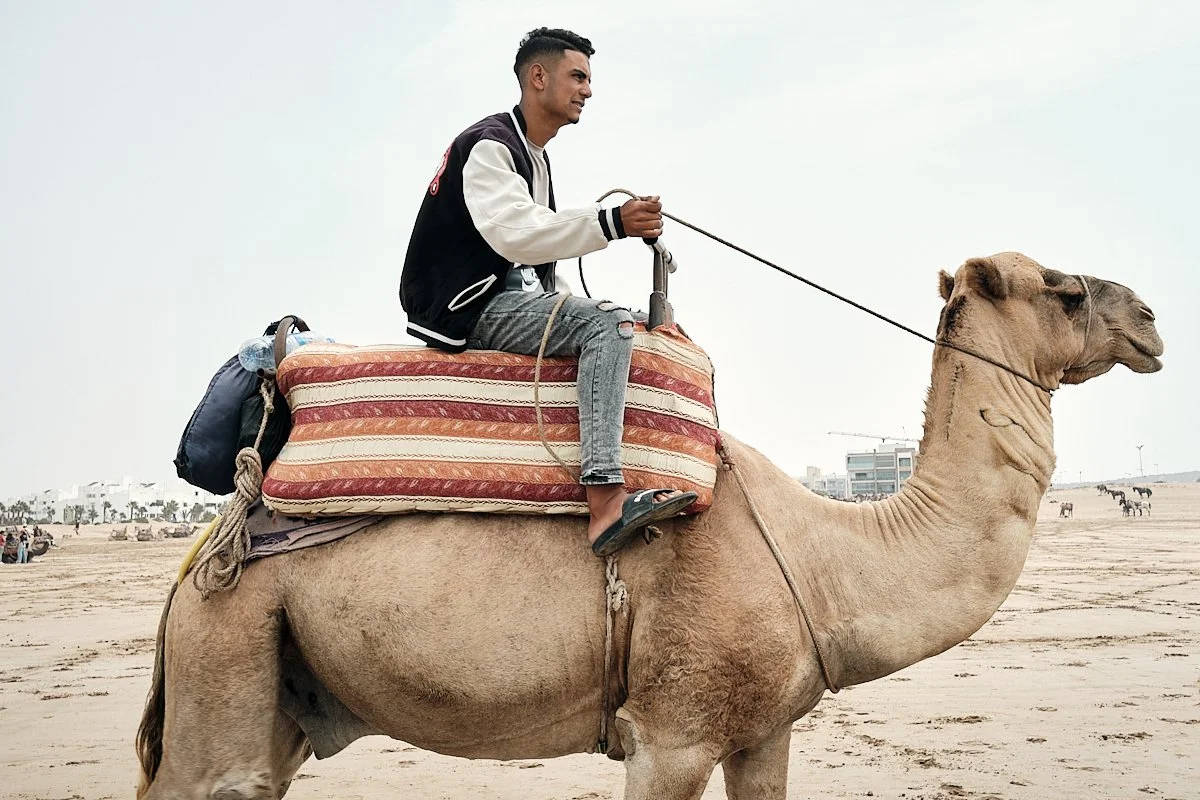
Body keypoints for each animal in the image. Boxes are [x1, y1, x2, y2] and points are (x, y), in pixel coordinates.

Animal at [135, 253, 1164, 800]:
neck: (825, 560)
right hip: (230, 639)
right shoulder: (671, 734)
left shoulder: (763, 730)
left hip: (274, 679)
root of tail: (202, 554)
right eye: (1065, 289)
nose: (1152, 318)